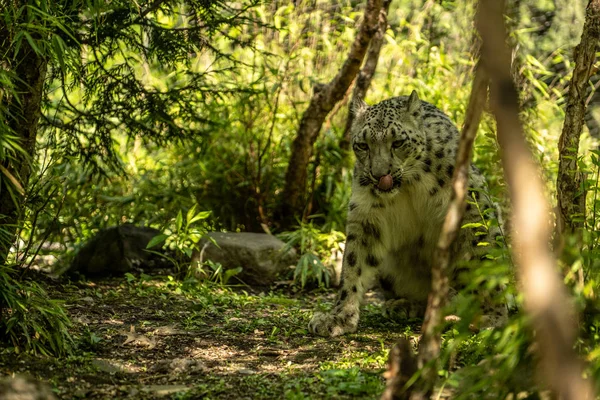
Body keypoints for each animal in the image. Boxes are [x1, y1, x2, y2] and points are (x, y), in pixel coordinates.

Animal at [310, 91, 506, 338]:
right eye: (363, 145)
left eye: (398, 142)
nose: (380, 175)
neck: (410, 185)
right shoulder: (365, 216)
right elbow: (353, 264)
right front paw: (339, 317)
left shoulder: (472, 207)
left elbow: (485, 259)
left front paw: (494, 316)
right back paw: (405, 305)